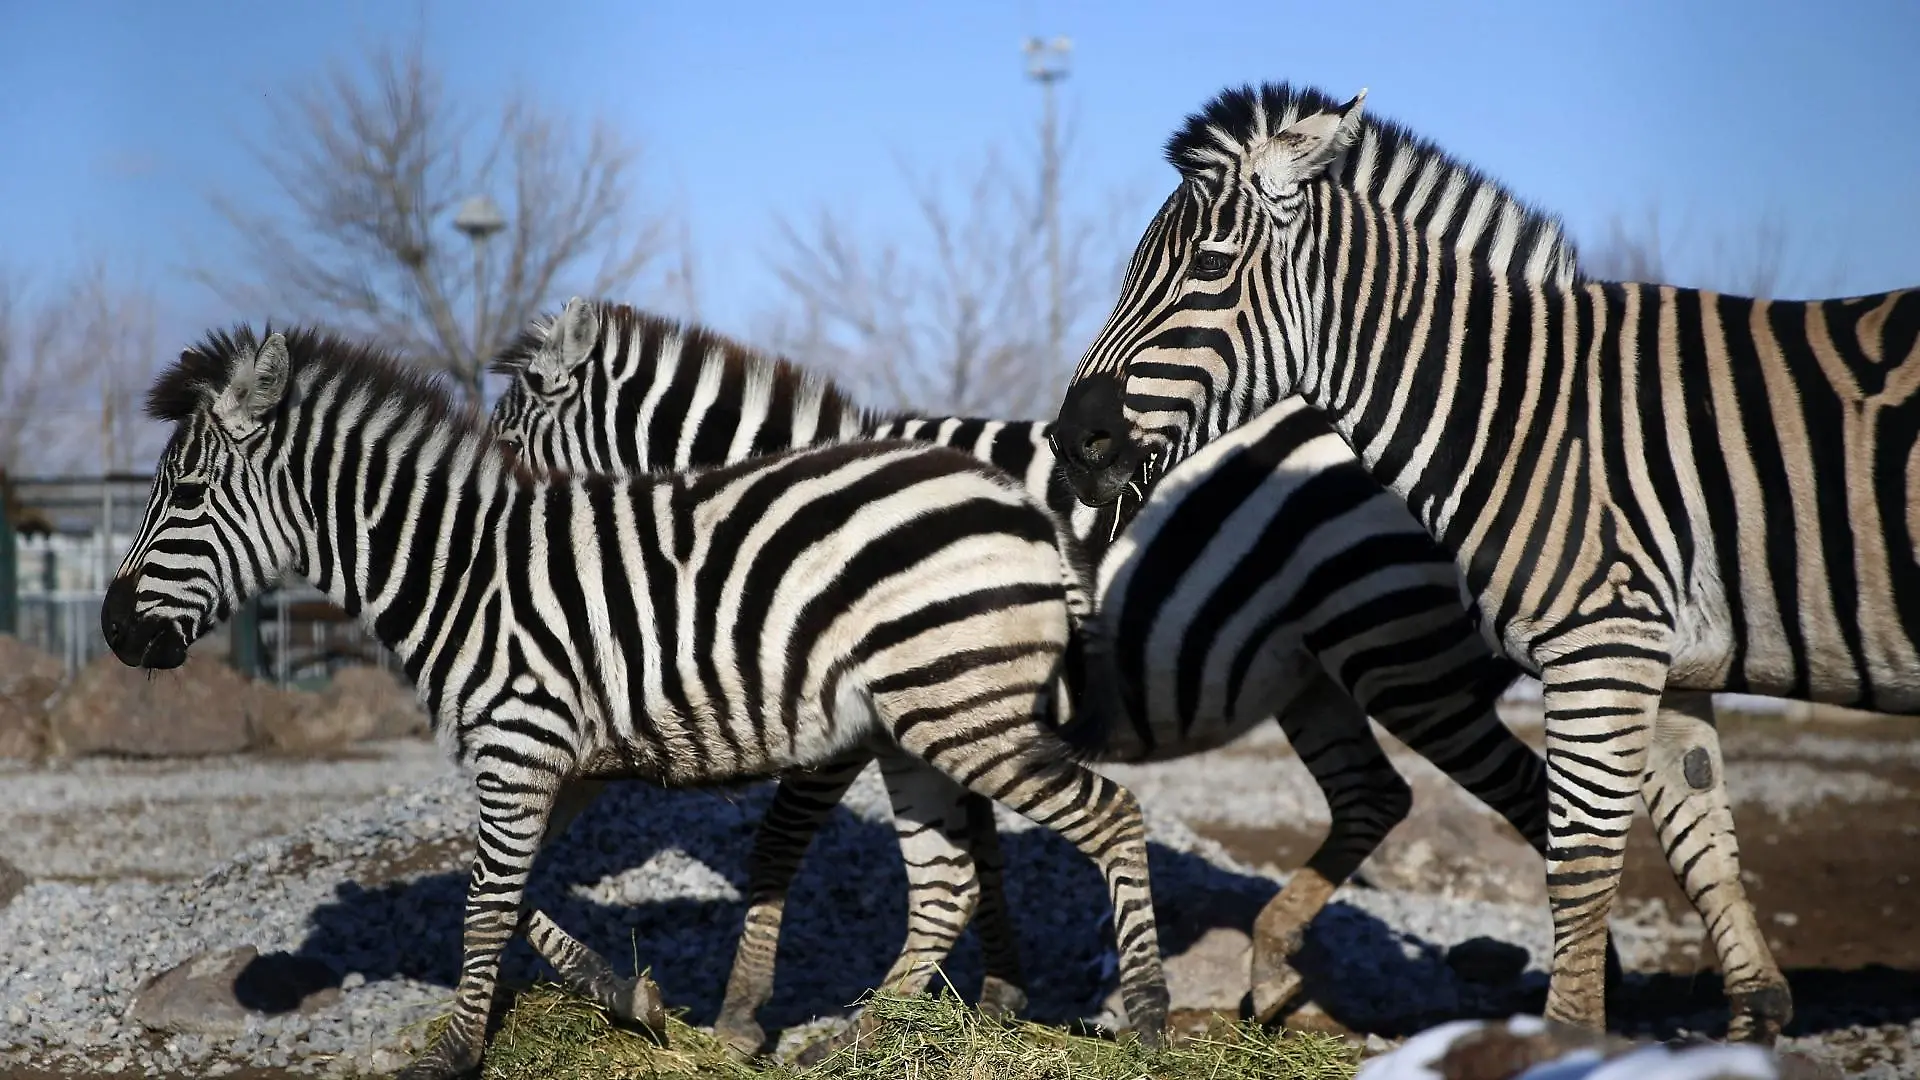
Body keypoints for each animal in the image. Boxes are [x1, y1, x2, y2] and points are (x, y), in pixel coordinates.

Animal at [99, 324, 1169, 1079]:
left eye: (184, 493)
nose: (111, 632)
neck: (462, 573)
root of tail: (1019, 503)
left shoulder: (520, 745)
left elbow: (485, 901)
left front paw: (453, 1053)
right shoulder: (551, 761)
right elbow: (512, 890)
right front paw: (634, 1002)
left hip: (956, 712)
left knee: (1111, 815)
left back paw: (1151, 1022)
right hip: (918, 724)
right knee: (946, 883)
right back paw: (853, 1041)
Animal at [485, 297, 1647, 1045]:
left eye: (504, 439)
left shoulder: (858, 710)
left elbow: (784, 842)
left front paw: (738, 1013)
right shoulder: (941, 701)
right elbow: (982, 849)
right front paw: (999, 991)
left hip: (1399, 654)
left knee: (1539, 801)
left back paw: (1601, 998)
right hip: (1315, 675)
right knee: (1378, 796)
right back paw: (1274, 977)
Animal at [1049, 81, 1917, 1040]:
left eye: (1209, 265)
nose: (1070, 443)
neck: (1533, 418)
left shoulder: (1601, 645)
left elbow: (1580, 863)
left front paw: (1572, 1039)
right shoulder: (1669, 655)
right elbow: (1701, 844)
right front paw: (1753, 1024)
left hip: (1405, 660)